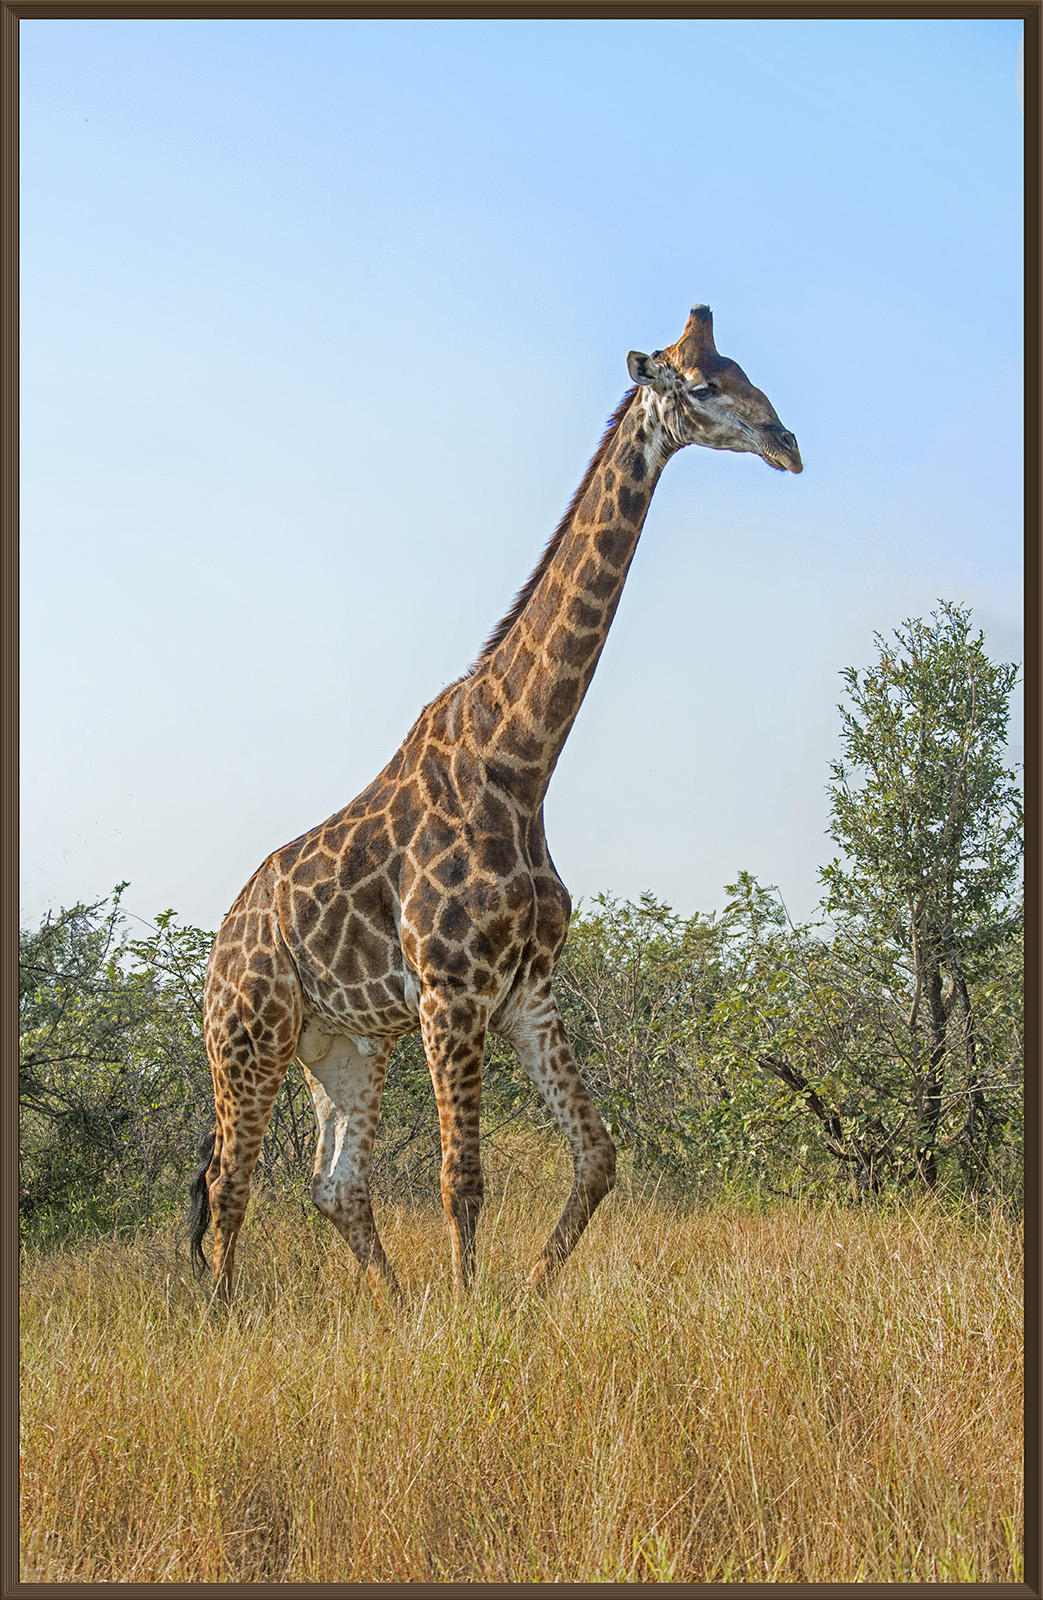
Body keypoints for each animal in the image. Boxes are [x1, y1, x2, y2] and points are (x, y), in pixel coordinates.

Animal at [188, 304, 801, 1303]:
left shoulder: (526, 992)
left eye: (748, 370)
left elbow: (597, 1157)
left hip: (346, 1045)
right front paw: (469, 1312)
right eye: (702, 384)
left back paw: (396, 1309)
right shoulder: (453, 990)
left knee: (333, 1186)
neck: (519, 766)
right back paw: (225, 1318)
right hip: (248, 1036)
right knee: (229, 1183)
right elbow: (461, 1179)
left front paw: (522, 1294)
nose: (786, 443)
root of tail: (217, 948)